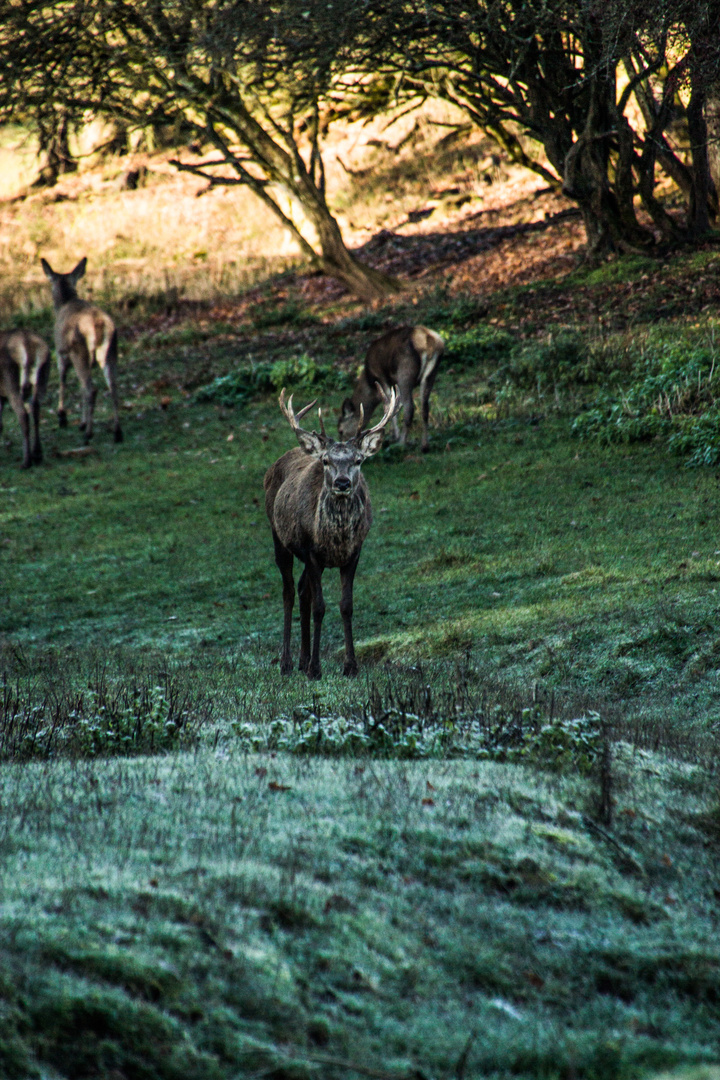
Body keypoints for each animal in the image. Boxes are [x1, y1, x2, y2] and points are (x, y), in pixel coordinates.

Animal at [0, 326, 50, 466]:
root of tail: (26, 342)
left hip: (12, 382)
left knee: (23, 414)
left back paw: (26, 461)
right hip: (41, 378)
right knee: (36, 409)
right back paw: (37, 454)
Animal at [40, 257, 122, 442]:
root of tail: (99, 323)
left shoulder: (60, 353)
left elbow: (62, 380)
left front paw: (62, 417)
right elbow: (80, 387)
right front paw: (81, 422)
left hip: (79, 352)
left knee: (91, 389)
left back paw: (88, 434)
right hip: (110, 352)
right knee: (112, 387)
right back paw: (117, 432)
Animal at [264, 384, 399, 678]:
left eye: (358, 460)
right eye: (326, 461)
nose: (342, 483)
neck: (337, 539)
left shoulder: (354, 553)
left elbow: (346, 606)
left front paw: (351, 665)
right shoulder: (313, 552)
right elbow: (319, 607)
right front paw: (316, 668)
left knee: (302, 589)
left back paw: (302, 660)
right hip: (278, 536)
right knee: (289, 592)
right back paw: (287, 662)